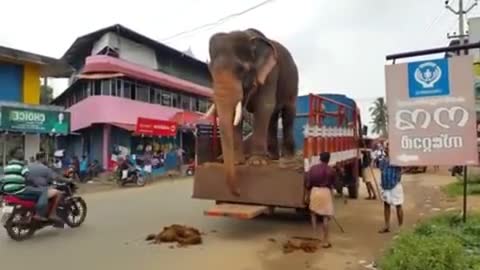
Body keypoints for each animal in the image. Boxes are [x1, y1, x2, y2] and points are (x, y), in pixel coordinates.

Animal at [205, 28, 298, 195]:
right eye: (210, 71)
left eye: (241, 69)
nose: (239, 192)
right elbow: (240, 112)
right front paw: (238, 161)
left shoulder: (271, 72)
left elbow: (264, 105)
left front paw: (257, 163)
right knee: (272, 119)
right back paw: (272, 157)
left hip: (293, 84)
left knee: (287, 114)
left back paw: (286, 159)